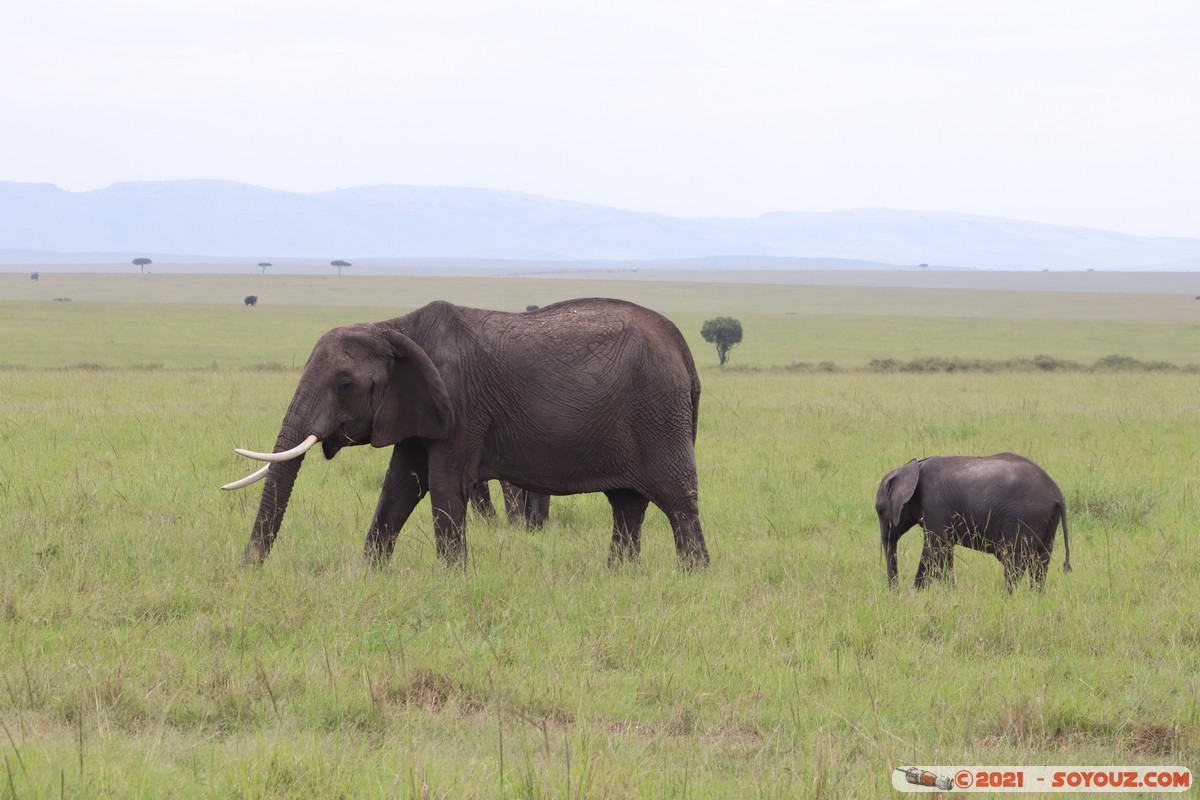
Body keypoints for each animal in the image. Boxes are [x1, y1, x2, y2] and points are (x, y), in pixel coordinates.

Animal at [222, 298, 705, 568]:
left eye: (344, 385)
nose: (246, 568)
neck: (394, 327)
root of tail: (683, 349)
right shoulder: (416, 407)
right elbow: (400, 486)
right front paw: (370, 575)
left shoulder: (458, 403)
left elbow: (442, 484)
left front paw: (452, 580)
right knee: (627, 505)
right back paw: (620, 576)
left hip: (658, 414)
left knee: (677, 500)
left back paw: (693, 578)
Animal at [878, 453, 1075, 592]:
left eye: (879, 509)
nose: (895, 592)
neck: (912, 467)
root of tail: (1057, 496)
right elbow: (945, 551)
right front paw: (952, 592)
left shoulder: (935, 506)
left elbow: (934, 549)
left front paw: (916, 594)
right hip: (1048, 522)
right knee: (1040, 563)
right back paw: (1035, 596)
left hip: (1024, 517)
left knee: (1015, 562)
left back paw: (1006, 596)